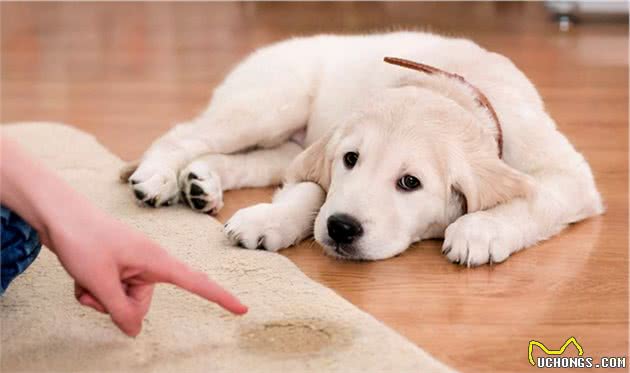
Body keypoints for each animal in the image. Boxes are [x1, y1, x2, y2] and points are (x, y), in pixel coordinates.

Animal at [124, 32, 608, 264]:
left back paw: (202, 181)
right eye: (351, 160)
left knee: (251, 161)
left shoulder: (569, 176)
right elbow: (311, 191)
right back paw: (158, 177)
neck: (450, 88)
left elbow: (534, 199)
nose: (341, 228)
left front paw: (479, 230)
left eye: (410, 182)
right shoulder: (322, 158)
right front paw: (270, 219)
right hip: (268, 104)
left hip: (284, 141)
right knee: (184, 134)